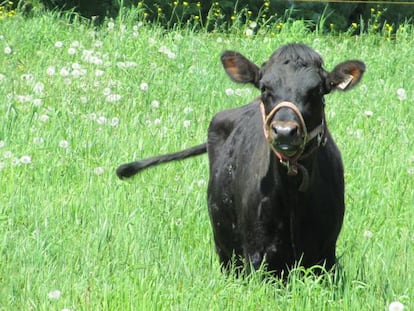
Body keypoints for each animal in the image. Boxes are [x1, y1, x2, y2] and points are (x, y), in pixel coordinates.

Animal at [117, 43, 366, 278]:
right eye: (265, 87)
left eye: (317, 90)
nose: (284, 131)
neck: (292, 195)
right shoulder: (257, 254)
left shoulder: (325, 254)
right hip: (224, 247)